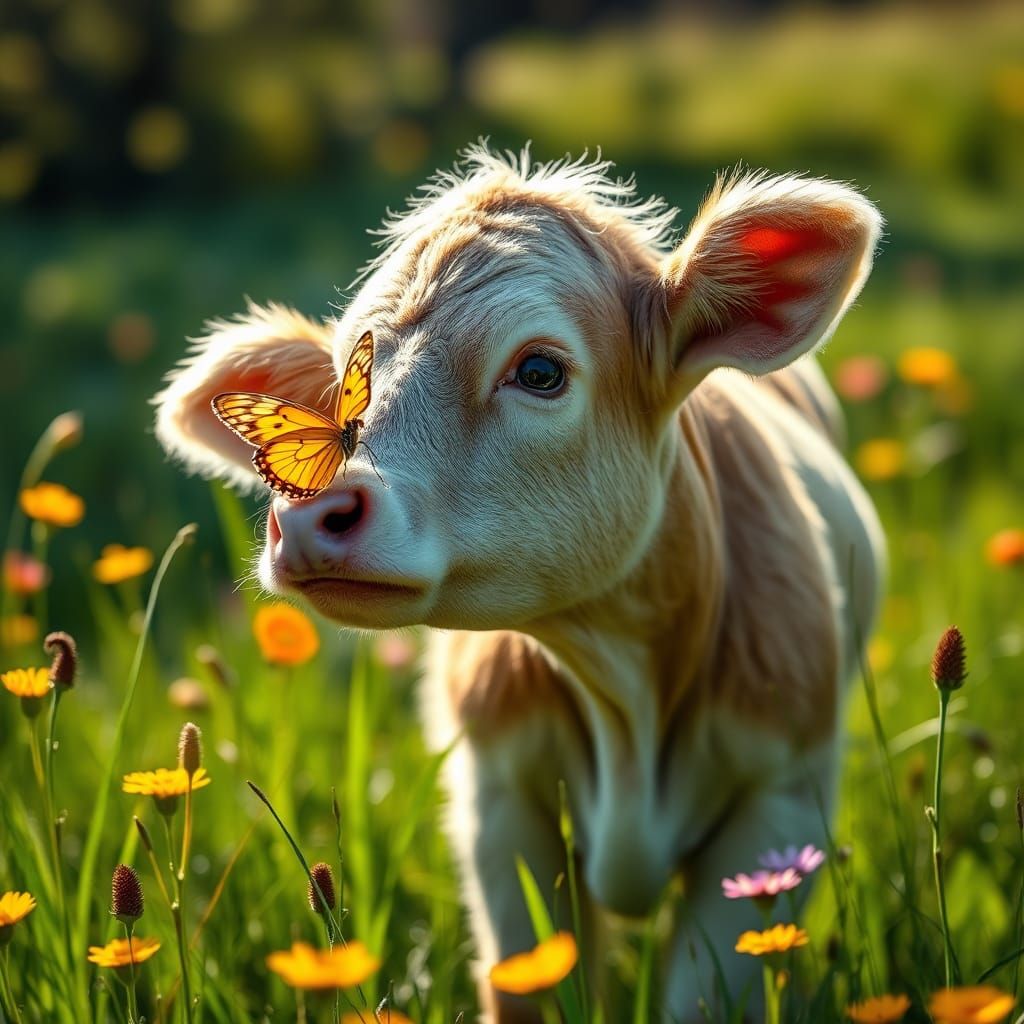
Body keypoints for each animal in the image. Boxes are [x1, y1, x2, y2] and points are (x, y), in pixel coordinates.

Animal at [154, 146, 884, 1022]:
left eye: (539, 370)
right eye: (344, 387)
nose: (305, 516)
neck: (622, 688)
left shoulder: (779, 806)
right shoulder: (498, 803)